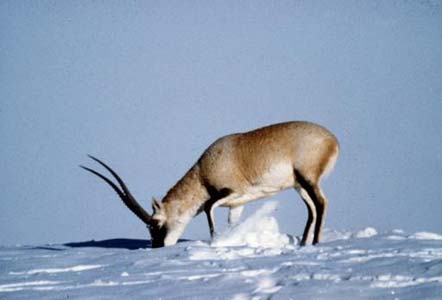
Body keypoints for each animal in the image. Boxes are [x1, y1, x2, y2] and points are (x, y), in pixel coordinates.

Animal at [81, 120, 340, 247]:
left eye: (155, 223)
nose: (158, 246)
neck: (202, 171)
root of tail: (332, 140)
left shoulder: (229, 192)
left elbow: (208, 209)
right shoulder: (237, 205)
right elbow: (231, 223)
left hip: (307, 180)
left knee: (322, 204)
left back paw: (316, 243)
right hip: (299, 186)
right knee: (312, 209)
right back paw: (304, 243)